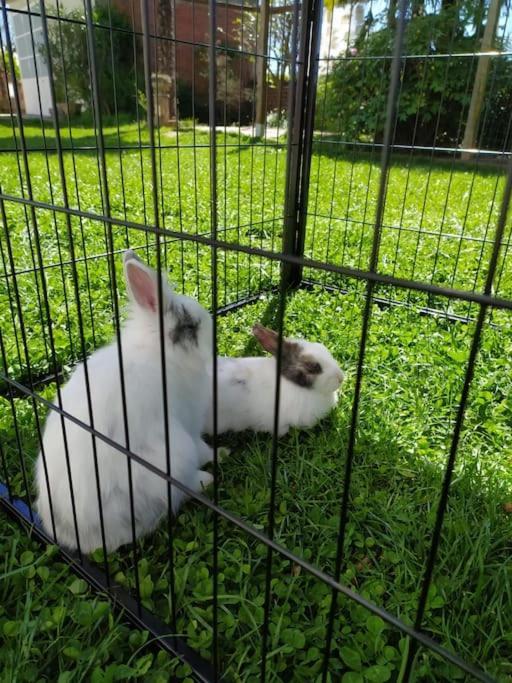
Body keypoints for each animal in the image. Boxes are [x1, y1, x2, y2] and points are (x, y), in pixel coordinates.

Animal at [35, 251, 216, 556]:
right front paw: (214, 454)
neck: (159, 351)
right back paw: (206, 479)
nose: (212, 335)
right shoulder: (188, 422)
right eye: (191, 325)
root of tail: (84, 538)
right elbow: (200, 444)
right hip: (174, 452)